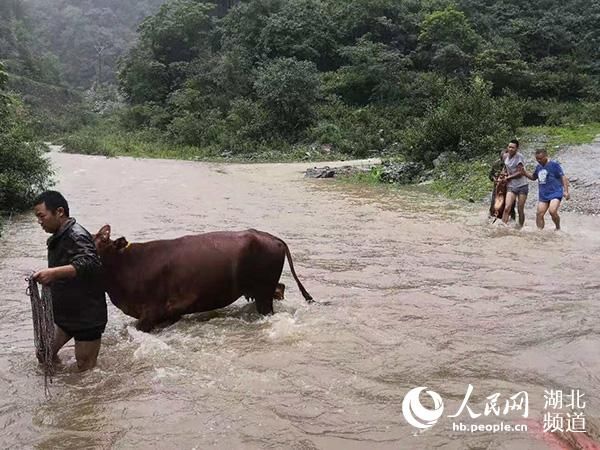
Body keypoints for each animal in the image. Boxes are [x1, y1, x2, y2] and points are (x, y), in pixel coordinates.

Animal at [92, 227, 314, 332]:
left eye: (99, 243)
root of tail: (273, 238)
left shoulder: (151, 313)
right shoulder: (170, 313)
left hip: (263, 292)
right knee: (281, 288)